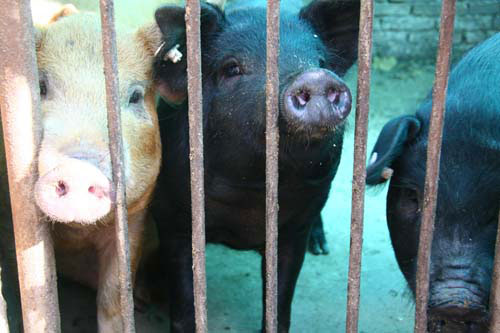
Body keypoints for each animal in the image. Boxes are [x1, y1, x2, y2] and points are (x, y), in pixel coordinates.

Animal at [152, 1, 360, 330]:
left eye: (321, 60)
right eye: (231, 68)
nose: (315, 76)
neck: (252, 190)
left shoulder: (294, 228)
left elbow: (280, 300)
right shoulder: (172, 217)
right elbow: (184, 301)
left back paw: (321, 248)